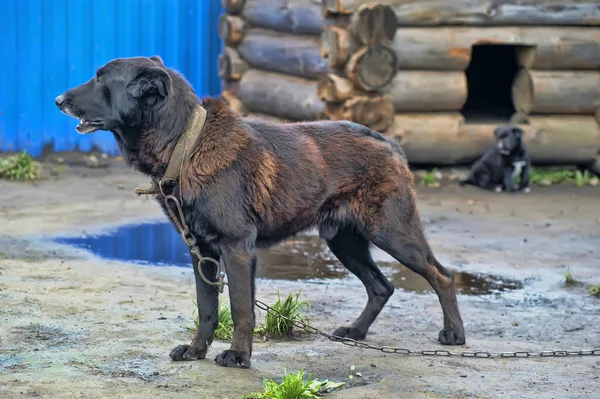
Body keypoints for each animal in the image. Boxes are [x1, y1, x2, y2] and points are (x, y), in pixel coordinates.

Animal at [55, 56, 464, 368]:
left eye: (100, 78)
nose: (58, 99)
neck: (185, 143)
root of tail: (390, 143)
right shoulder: (201, 252)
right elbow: (207, 308)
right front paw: (196, 350)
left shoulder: (237, 249)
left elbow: (240, 308)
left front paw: (238, 356)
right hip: (343, 242)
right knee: (381, 286)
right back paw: (357, 331)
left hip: (393, 234)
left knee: (441, 276)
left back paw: (454, 333)